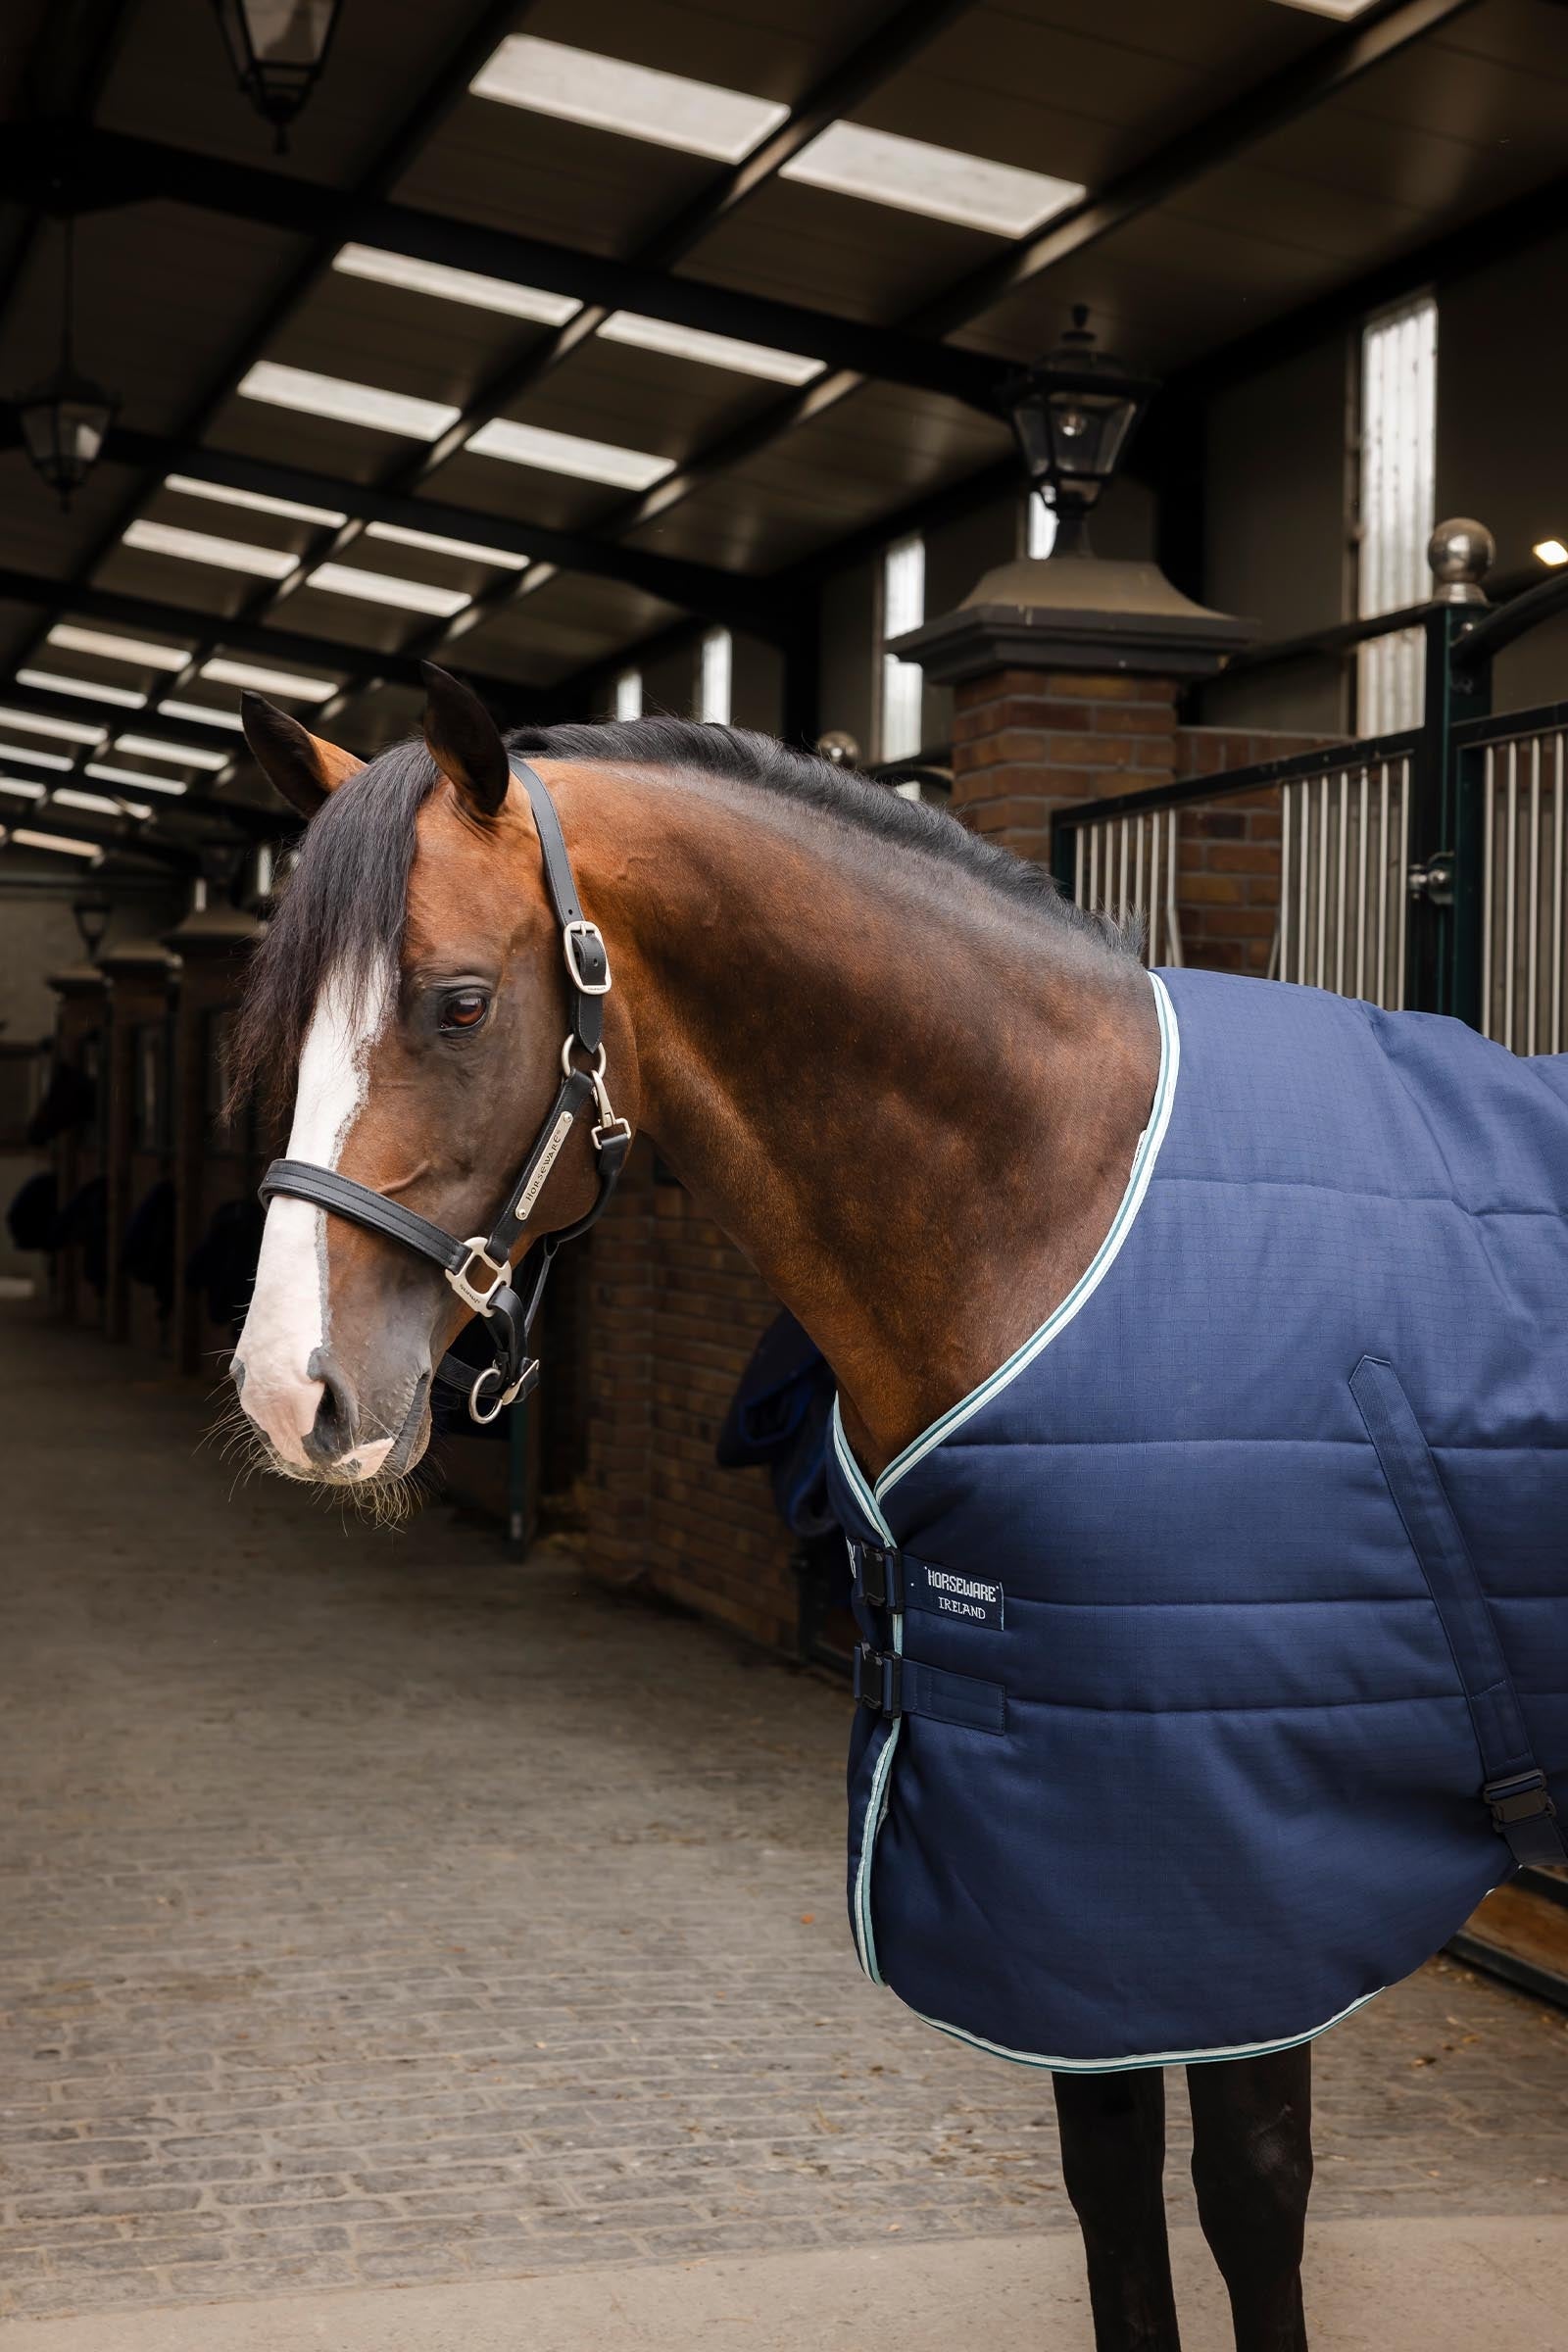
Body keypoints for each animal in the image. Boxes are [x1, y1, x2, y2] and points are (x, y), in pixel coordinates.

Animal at [227, 663, 1568, 2352]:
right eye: (286, 1024)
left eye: (458, 1004)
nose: (291, 1390)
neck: (1058, 1202)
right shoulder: (1065, 1887)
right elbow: (1111, 2192)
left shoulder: (1252, 1875)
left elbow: (1251, 2197)